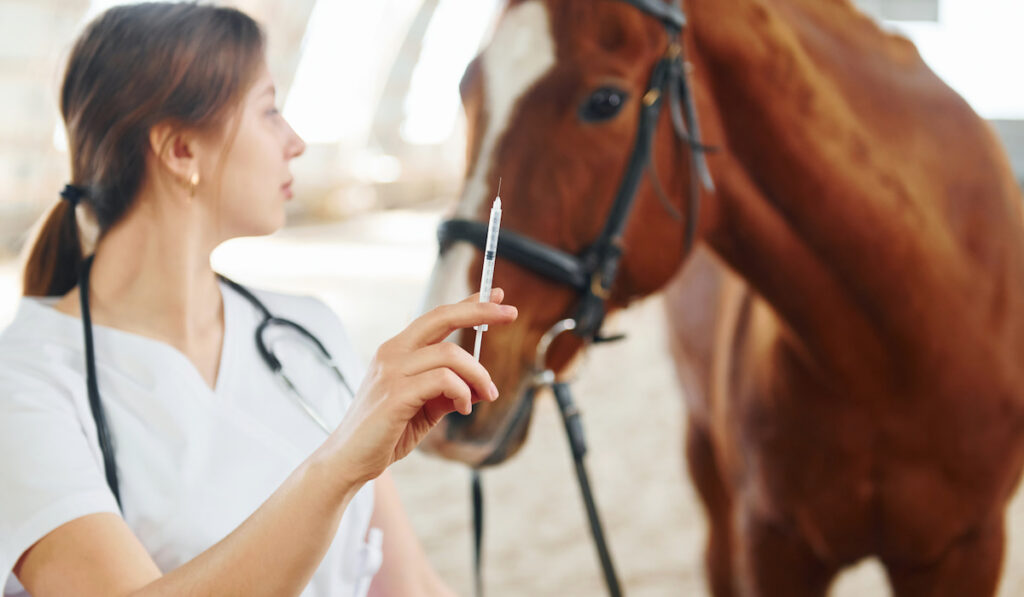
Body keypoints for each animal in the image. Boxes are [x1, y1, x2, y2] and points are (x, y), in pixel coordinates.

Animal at [415, 2, 1024, 593]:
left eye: (606, 101)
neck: (887, 361)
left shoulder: (968, 551)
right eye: (468, 91)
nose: (452, 360)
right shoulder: (773, 543)